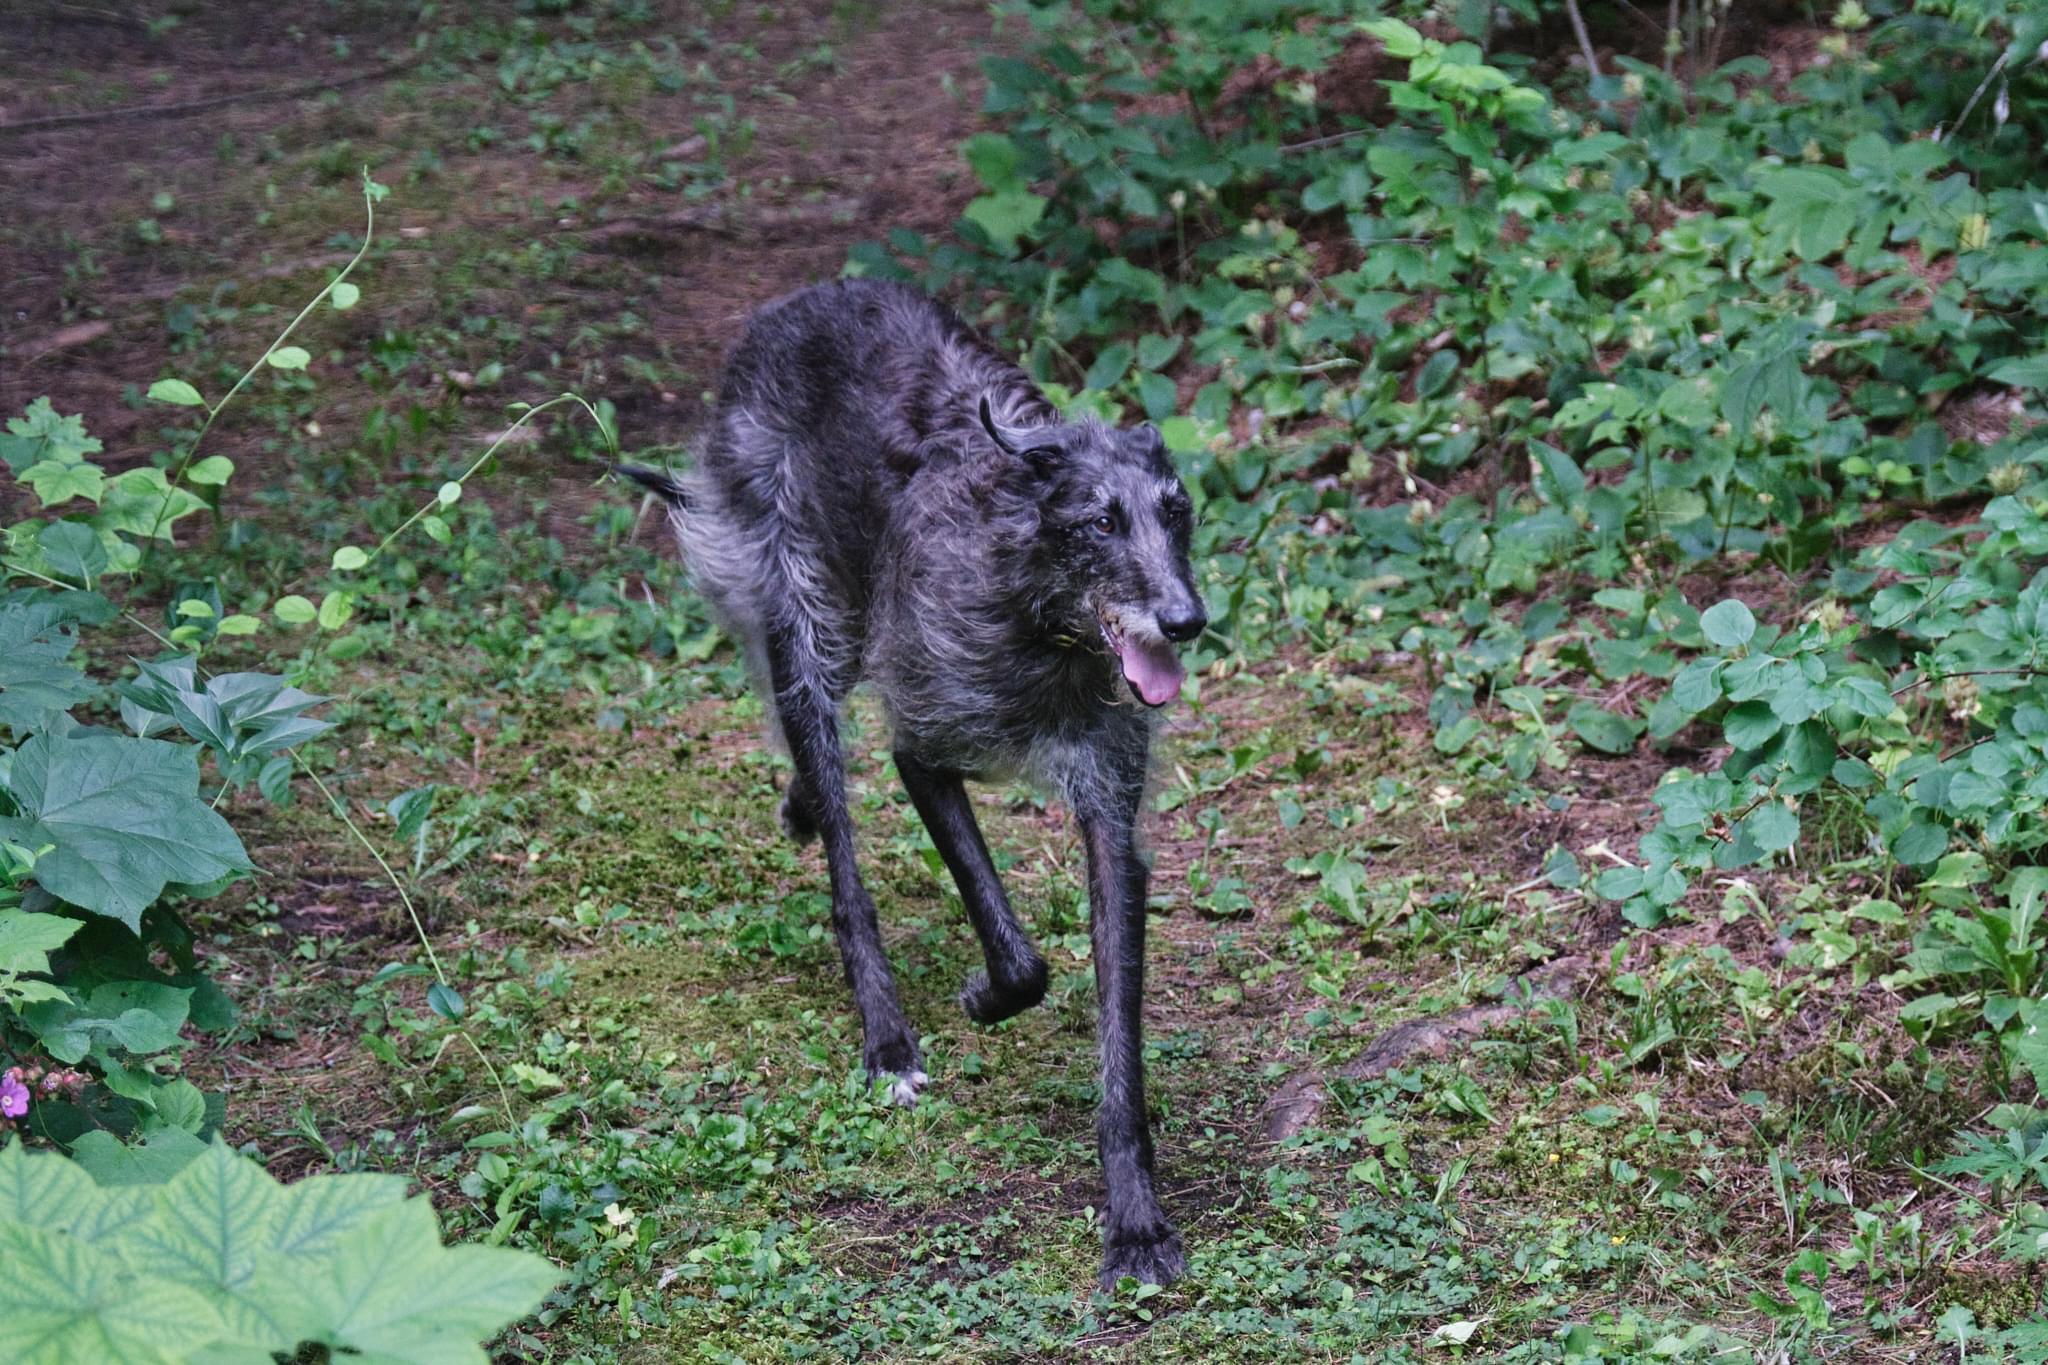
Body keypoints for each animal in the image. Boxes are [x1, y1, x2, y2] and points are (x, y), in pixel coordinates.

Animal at [614, 280, 1204, 1293]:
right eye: (1101, 521)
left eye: (1178, 512)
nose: (1187, 619)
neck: (1039, 621)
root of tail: (798, 301)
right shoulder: (924, 750)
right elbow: (1019, 953)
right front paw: (979, 1000)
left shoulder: (1110, 813)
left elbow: (1116, 1032)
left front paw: (1134, 1219)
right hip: (802, 612)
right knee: (843, 854)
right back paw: (886, 1035)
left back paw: (799, 804)